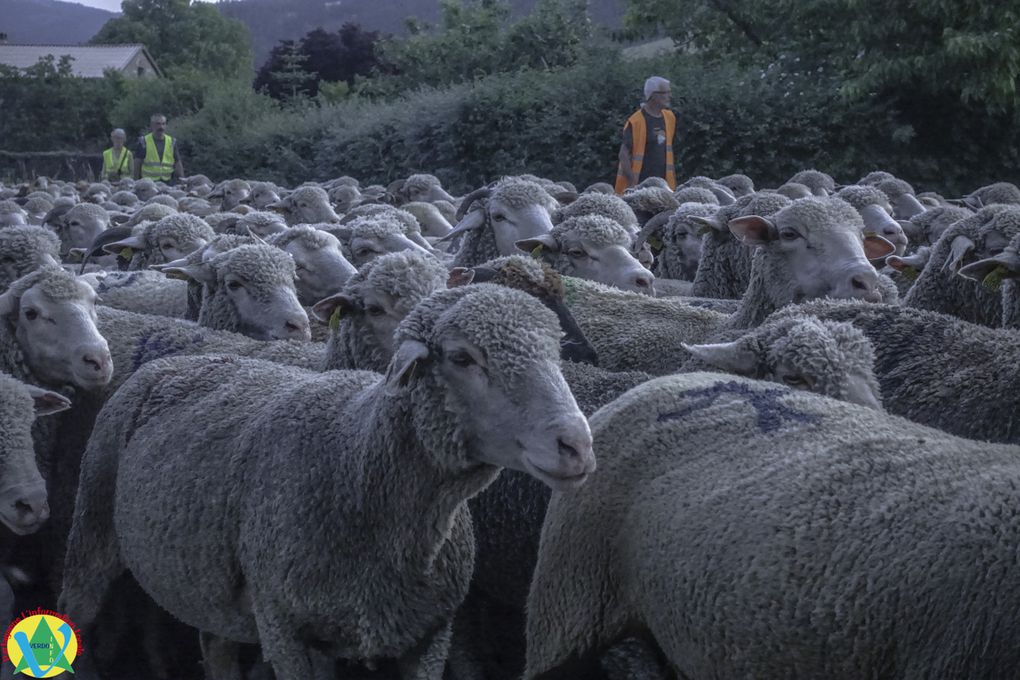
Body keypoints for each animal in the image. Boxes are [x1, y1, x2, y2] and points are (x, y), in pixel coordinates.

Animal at [57, 281, 595, 680]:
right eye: (462, 358)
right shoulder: (286, 630)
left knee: (217, 647)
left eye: (554, 352)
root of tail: (176, 359)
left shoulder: (427, 636)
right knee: (75, 607)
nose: (577, 444)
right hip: (93, 523)